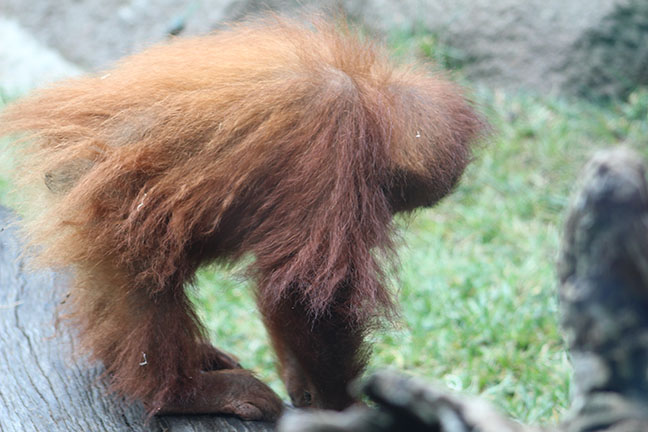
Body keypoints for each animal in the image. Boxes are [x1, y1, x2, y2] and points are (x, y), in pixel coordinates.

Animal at [0, 16, 486, 422]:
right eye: (393, 192)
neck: (367, 90)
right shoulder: (333, 137)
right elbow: (305, 291)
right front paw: (337, 404)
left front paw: (303, 385)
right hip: (105, 198)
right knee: (143, 289)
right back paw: (185, 393)